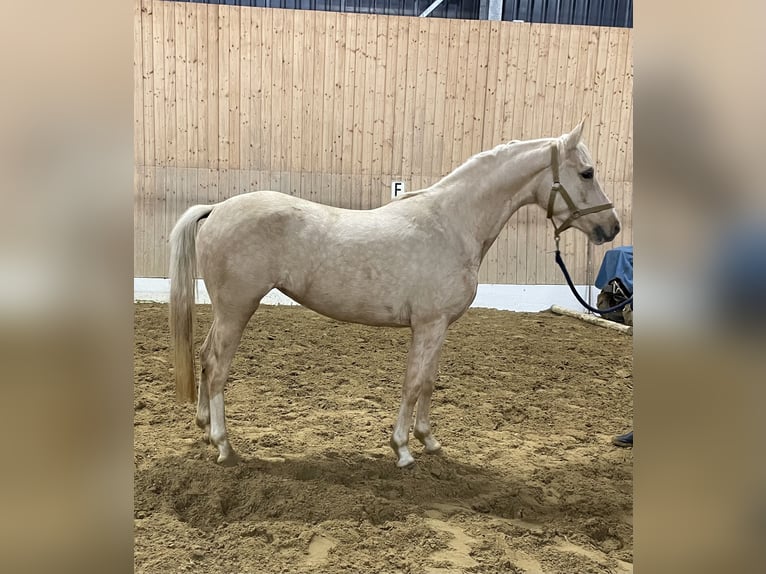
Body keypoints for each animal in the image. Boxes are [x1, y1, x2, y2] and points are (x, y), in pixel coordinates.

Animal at [171, 121, 620, 468]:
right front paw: (403, 449)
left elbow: (429, 382)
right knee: (217, 365)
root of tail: (216, 209)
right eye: (586, 173)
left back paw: (204, 429)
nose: (611, 227)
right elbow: (413, 382)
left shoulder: (439, 327)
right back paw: (225, 446)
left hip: (228, 311)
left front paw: (429, 440)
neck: (452, 224)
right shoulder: (428, 325)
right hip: (236, 308)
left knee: (205, 358)